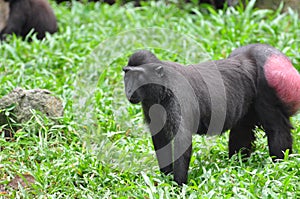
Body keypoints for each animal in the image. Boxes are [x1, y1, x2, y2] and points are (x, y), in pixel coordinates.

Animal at [122, 44, 300, 185]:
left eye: (138, 76)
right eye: (127, 75)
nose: (129, 90)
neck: (163, 85)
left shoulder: (178, 98)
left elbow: (182, 142)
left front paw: (177, 187)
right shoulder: (150, 104)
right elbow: (160, 139)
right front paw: (164, 181)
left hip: (266, 85)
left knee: (276, 128)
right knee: (242, 129)